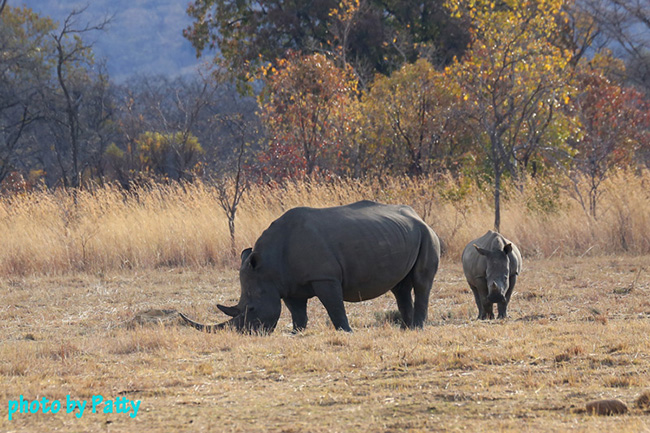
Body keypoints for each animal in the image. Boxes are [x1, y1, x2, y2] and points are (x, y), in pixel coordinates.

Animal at [180, 200, 441, 333]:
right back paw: (406, 329)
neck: (266, 265)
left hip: (427, 234)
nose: (245, 333)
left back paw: (417, 329)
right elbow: (297, 312)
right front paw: (297, 333)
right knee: (400, 287)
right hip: (402, 233)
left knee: (421, 282)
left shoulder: (324, 277)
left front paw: (345, 332)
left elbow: (334, 306)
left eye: (251, 309)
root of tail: (418, 216)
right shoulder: (287, 284)